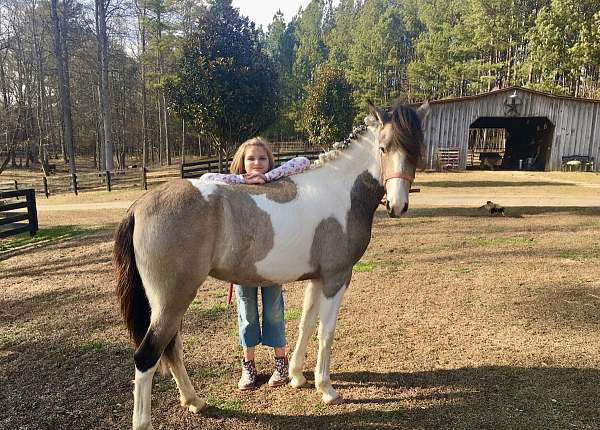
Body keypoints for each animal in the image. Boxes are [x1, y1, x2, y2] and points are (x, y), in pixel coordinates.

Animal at [113, 100, 426, 426]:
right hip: (173, 299)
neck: (339, 192)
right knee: (148, 355)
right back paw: (147, 420)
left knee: (171, 348)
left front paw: (297, 377)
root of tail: (139, 205)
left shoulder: (317, 279)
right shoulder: (336, 278)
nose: (398, 206)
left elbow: (306, 324)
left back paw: (194, 401)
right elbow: (326, 331)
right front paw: (326, 389)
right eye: (383, 147)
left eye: (416, 149)